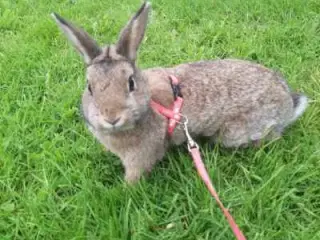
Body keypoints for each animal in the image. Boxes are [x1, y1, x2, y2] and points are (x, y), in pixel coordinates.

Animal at [52, 1, 308, 184]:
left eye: (130, 83)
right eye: (89, 87)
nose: (111, 117)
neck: (148, 105)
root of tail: (288, 102)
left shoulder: (141, 156)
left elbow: (135, 175)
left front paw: (124, 190)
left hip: (237, 133)